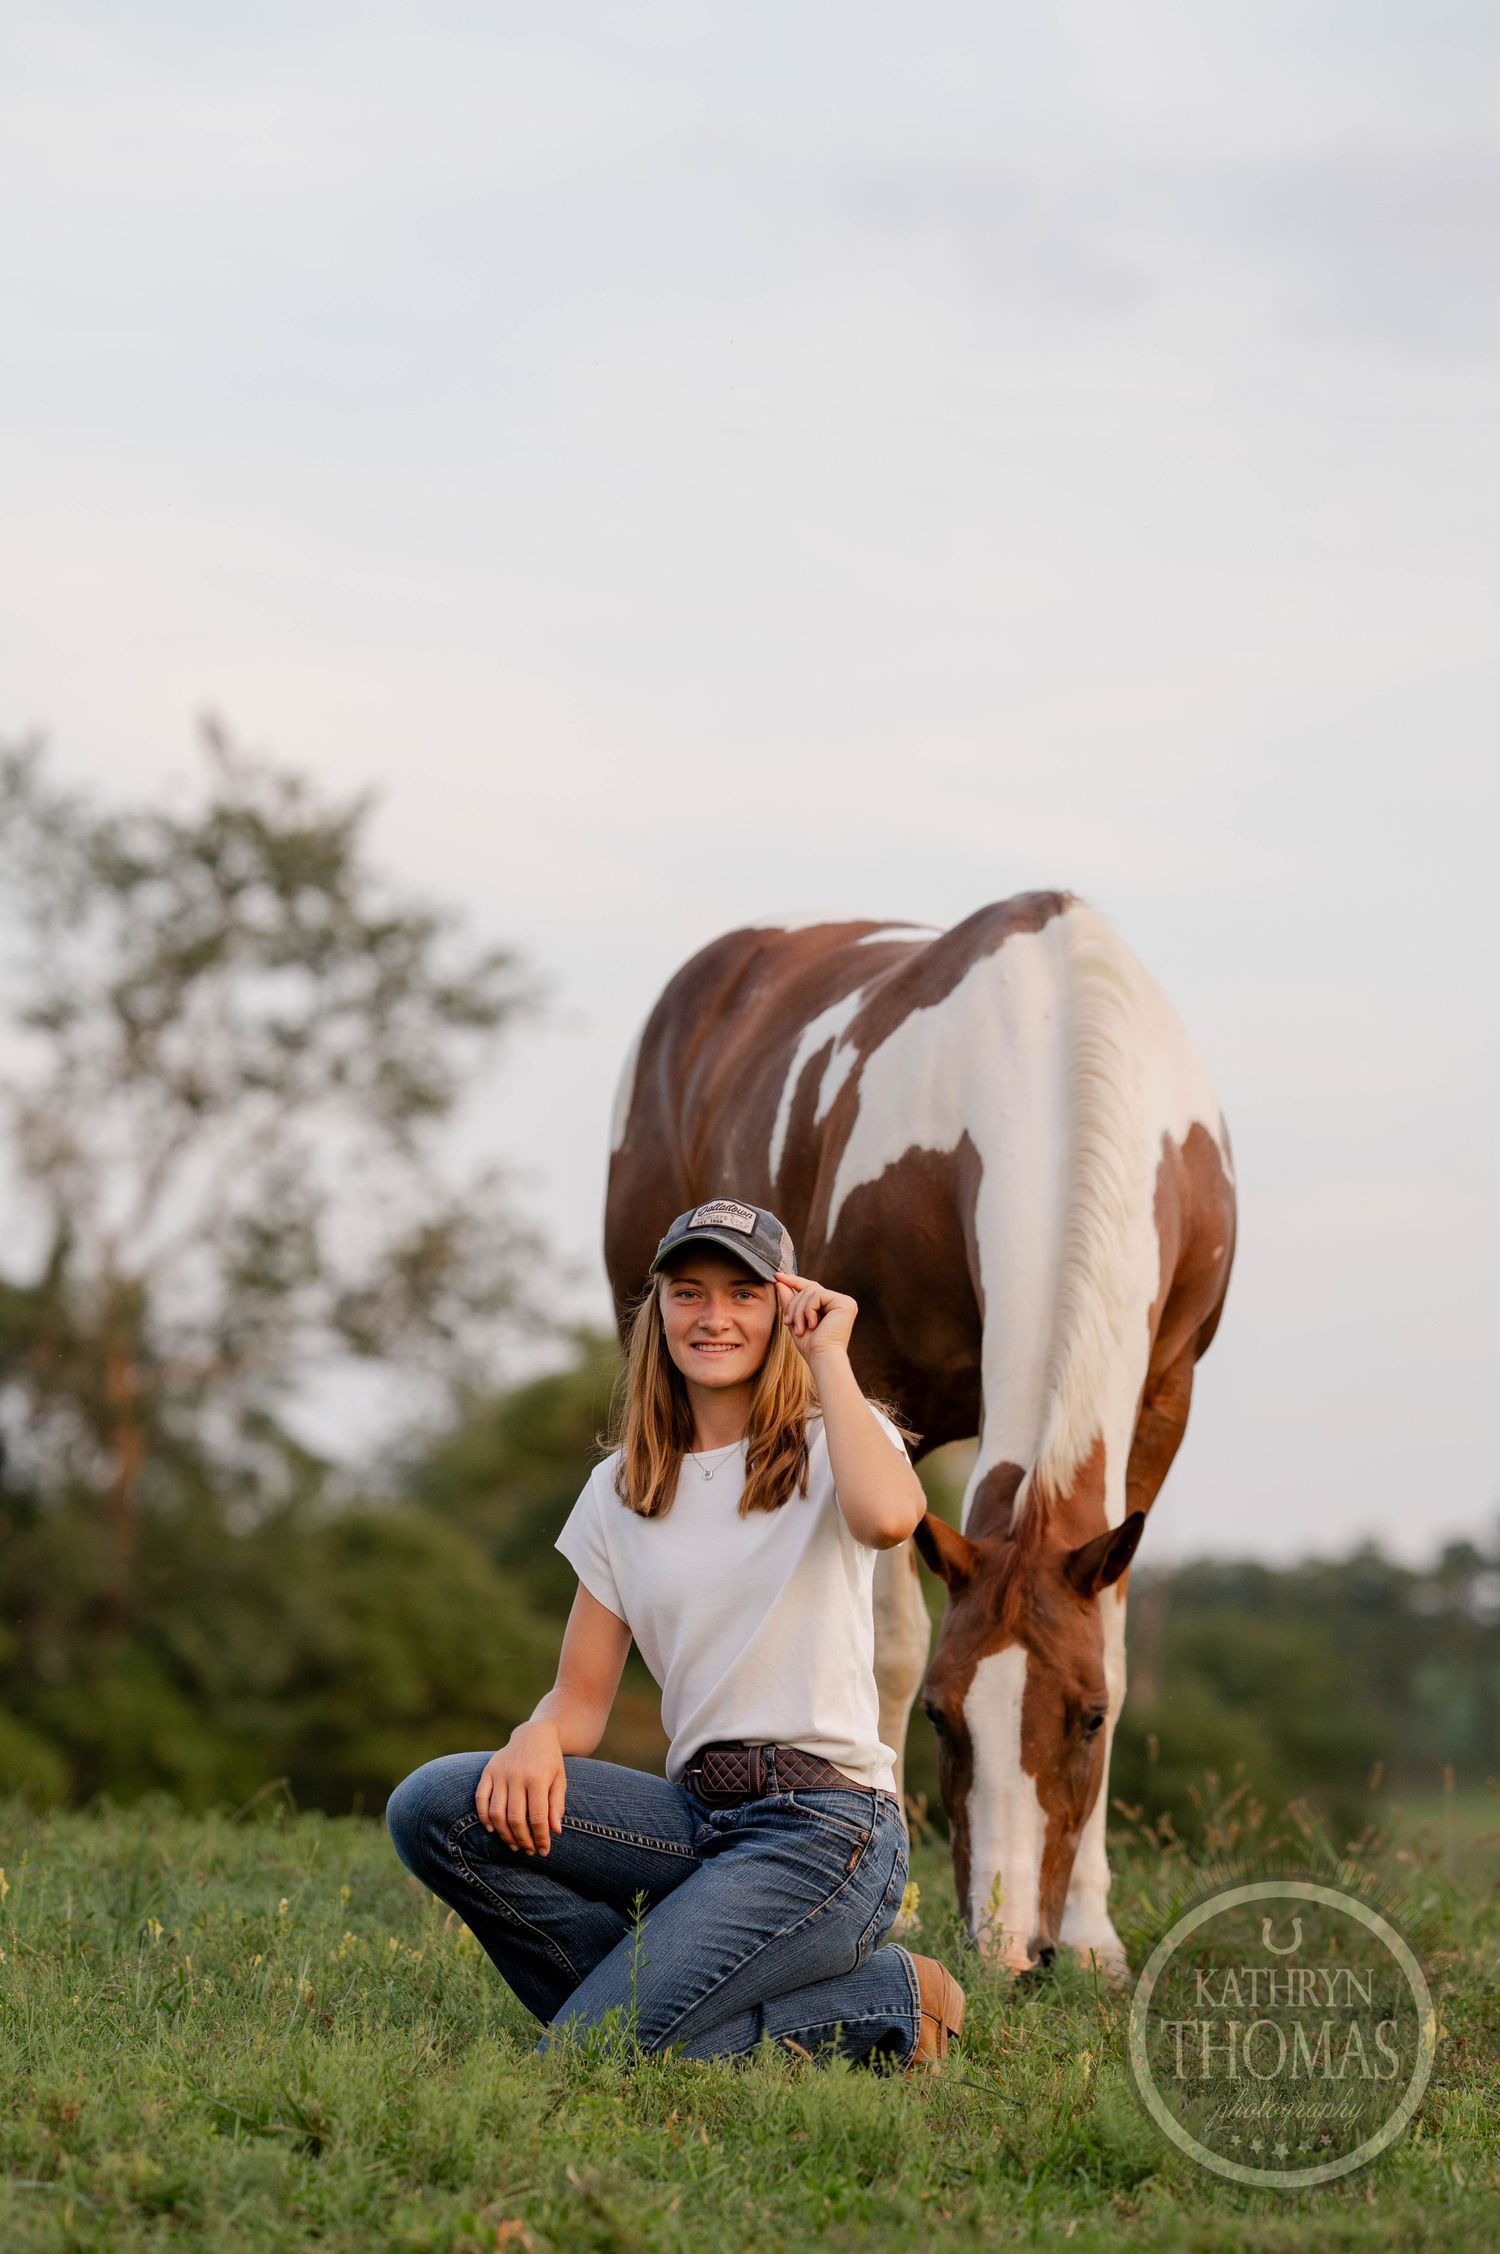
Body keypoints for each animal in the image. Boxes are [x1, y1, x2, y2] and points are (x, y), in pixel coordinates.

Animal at [602, 891, 1235, 1976]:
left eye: (1088, 1718)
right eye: (944, 1715)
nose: (1011, 1948)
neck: (1054, 1044)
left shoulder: (1164, 1399)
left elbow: (1112, 1638)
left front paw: (1094, 1935)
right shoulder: (873, 1382)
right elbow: (886, 1648)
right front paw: (890, 1907)